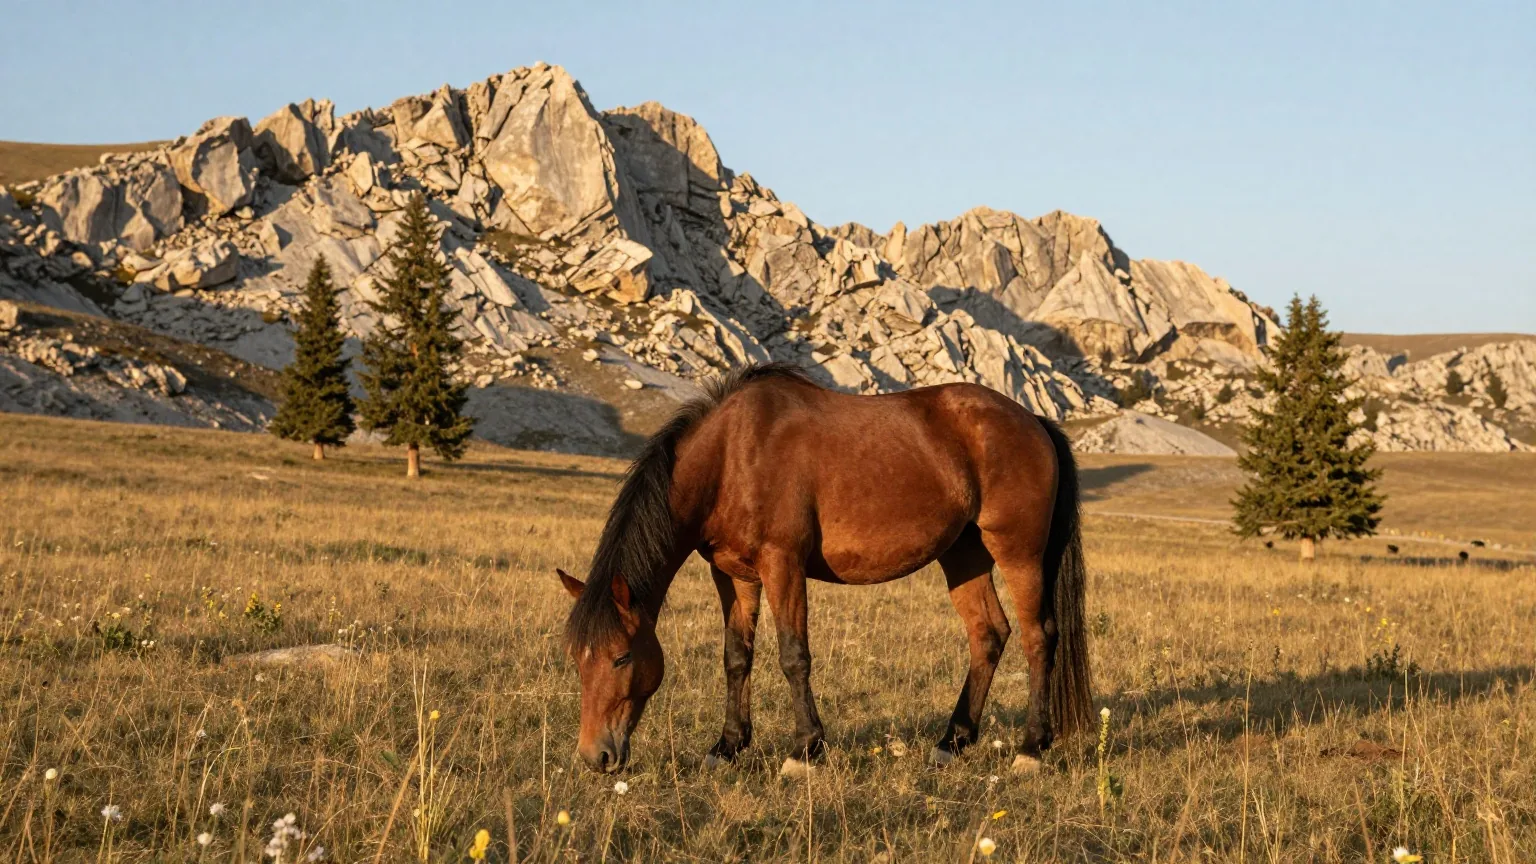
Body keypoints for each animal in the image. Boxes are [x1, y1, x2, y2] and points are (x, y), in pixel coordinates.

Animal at [558, 363, 1092, 775]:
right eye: (578, 660)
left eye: (621, 658)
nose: (596, 756)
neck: (732, 456)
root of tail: (1032, 419)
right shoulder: (734, 576)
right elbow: (736, 658)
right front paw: (727, 747)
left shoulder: (782, 565)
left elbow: (794, 656)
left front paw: (804, 750)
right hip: (964, 554)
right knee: (988, 634)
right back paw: (952, 741)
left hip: (1017, 552)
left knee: (1038, 637)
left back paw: (1030, 749)